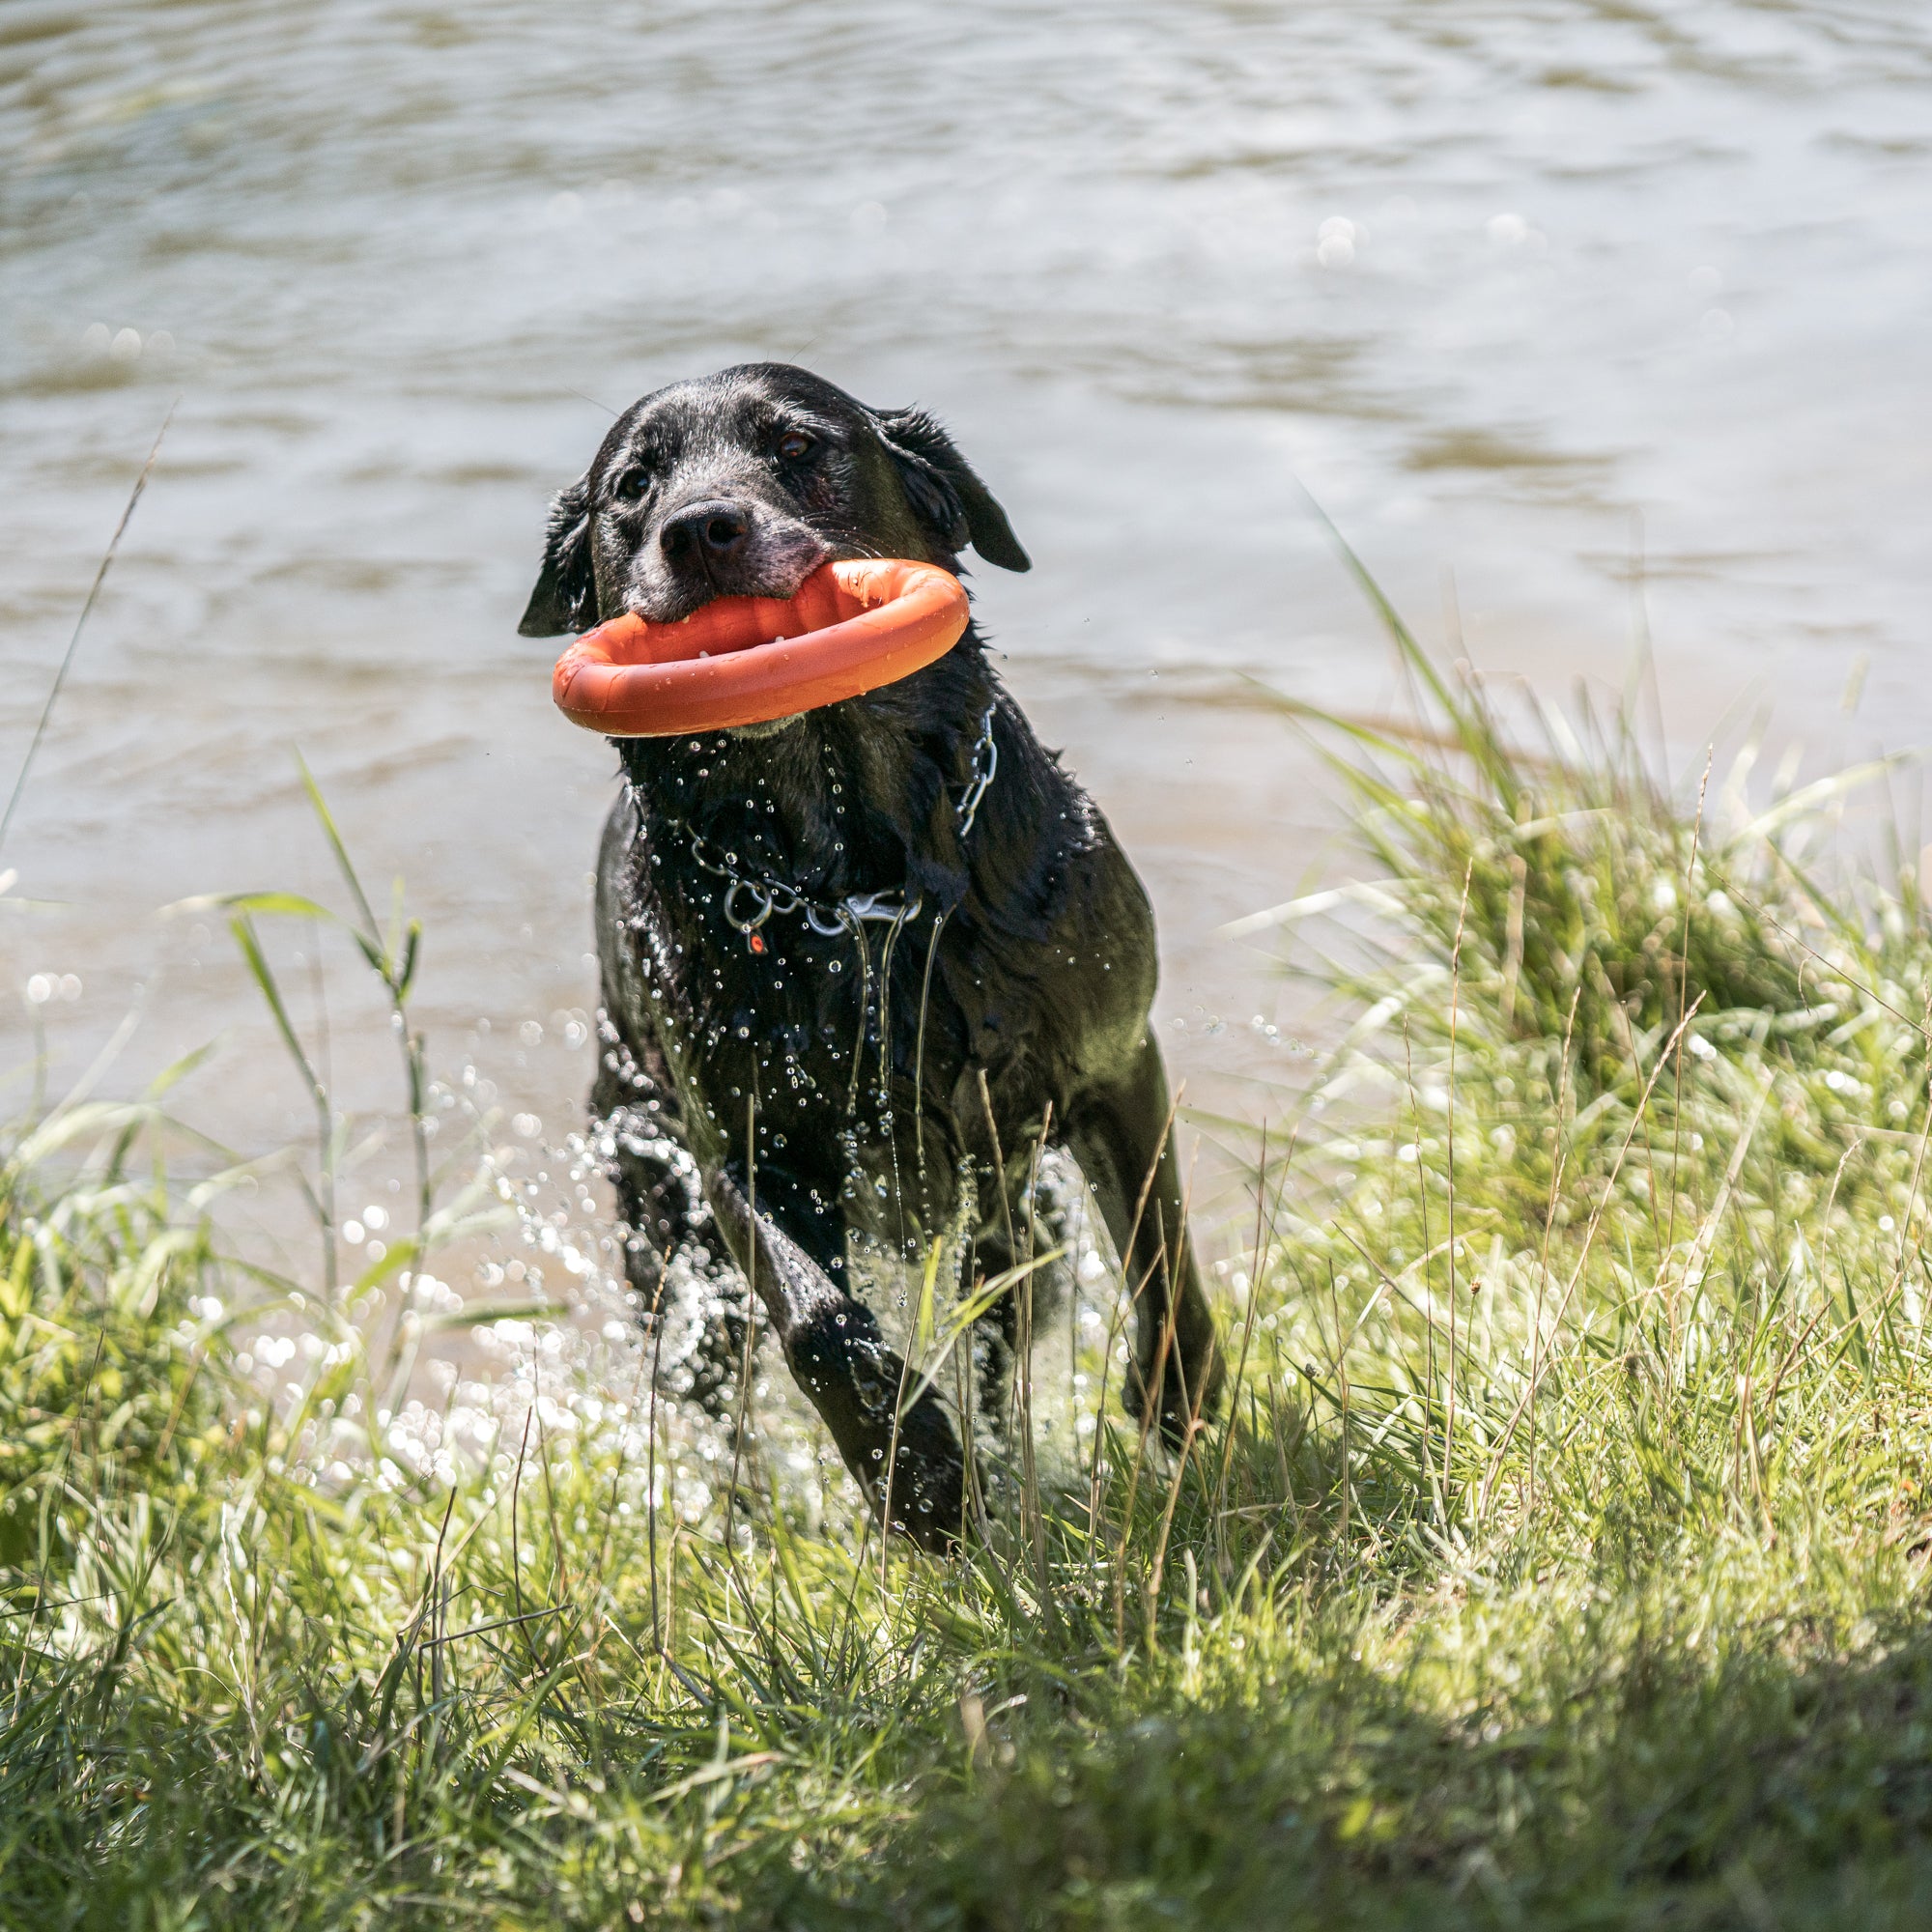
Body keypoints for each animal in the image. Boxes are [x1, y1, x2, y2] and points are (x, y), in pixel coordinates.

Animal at [526, 363, 1221, 1546]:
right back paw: (745, 1527)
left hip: (1021, 1220)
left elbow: (1160, 1249)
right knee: (709, 1389)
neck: (854, 885)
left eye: (798, 444)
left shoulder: (1115, 1063)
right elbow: (816, 1325)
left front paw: (1176, 1405)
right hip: (657, 1211)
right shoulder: (744, 1151)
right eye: (633, 485)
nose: (700, 530)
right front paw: (919, 1482)